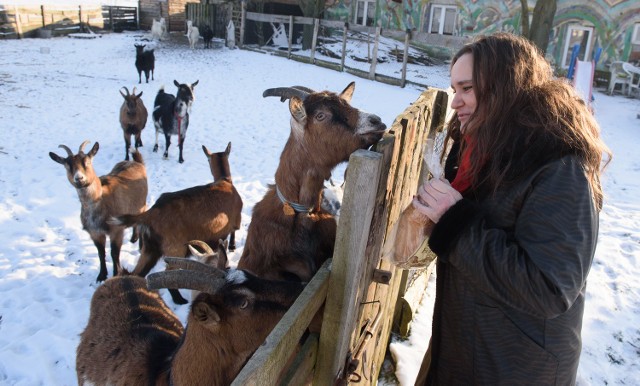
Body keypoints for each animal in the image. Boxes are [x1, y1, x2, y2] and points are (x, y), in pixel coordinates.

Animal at [48, 140, 148, 282]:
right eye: (68, 166)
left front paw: (116, 274)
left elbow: (114, 252)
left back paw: (139, 244)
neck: (100, 199)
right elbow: (101, 253)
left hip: (142, 204)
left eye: (87, 162)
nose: (79, 179)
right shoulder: (94, 232)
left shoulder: (116, 230)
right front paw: (101, 275)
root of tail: (137, 162)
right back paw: (133, 238)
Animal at [112, 142, 242, 304]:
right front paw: (232, 246)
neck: (225, 181)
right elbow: (233, 232)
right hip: (175, 248)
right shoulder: (236, 220)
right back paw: (179, 299)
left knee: (137, 272)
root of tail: (150, 214)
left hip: (150, 248)